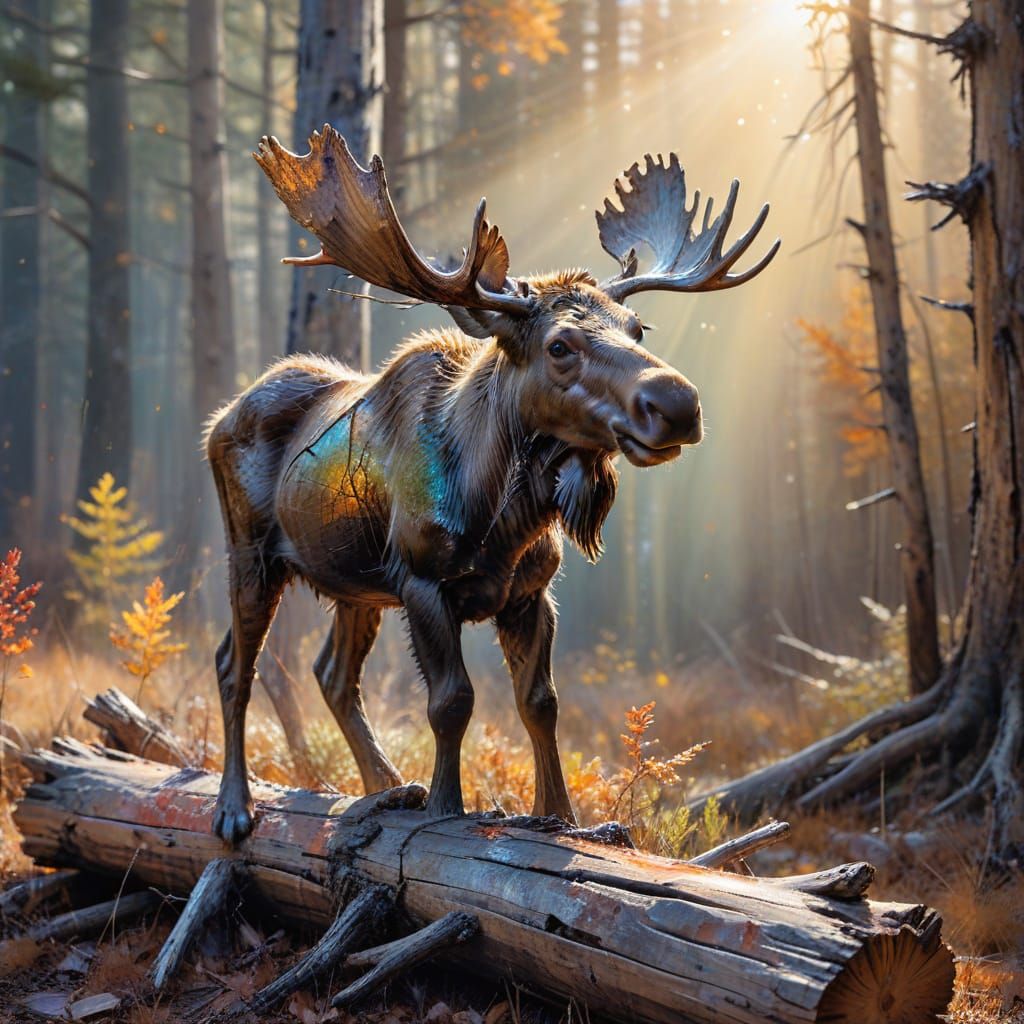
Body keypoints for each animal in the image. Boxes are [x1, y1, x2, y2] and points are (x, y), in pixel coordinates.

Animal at [205, 125, 778, 844]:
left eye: (638, 328)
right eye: (559, 346)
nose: (677, 403)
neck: (502, 521)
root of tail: (218, 419)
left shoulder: (528, 592)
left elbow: (540, 703)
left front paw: (558, 817)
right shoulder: (423, 581)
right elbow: (452, 702)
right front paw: (447, 811)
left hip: (355, 584)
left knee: (331, 674)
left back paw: (386, 786)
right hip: (252, 552)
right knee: (234, 664)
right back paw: (235, 807)